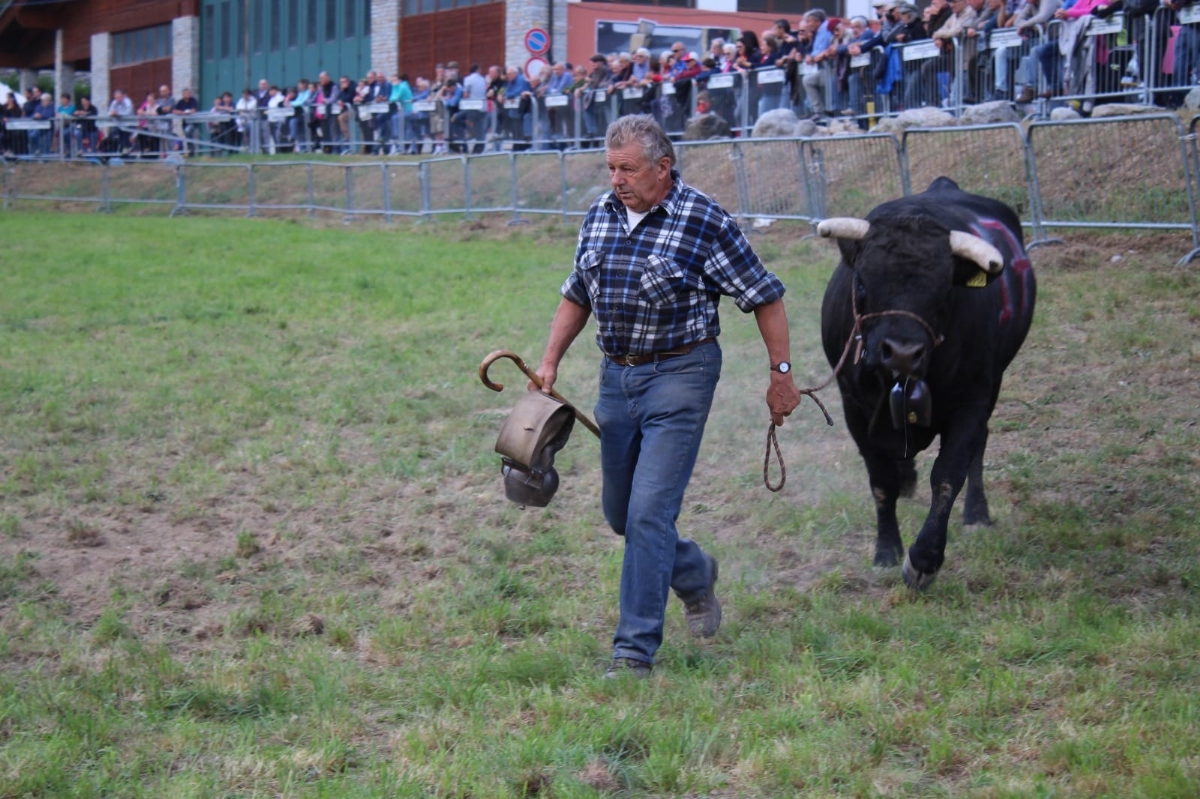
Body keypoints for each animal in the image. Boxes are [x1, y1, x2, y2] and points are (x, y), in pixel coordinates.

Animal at [820, 177, 1036, 587]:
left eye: (944, 289)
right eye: (862, 282)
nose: (902, 352)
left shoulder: (973, 398)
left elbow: (948, 475)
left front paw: (924, 559)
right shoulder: (853, 407)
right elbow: (881, 481)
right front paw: (886, 550)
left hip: (994, 379)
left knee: (980, 444)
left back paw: (977, 514)